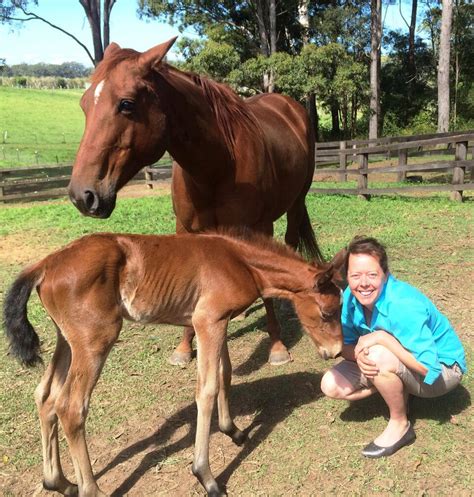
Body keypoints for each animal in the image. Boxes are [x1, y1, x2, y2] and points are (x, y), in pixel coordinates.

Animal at [4, 232, 344, 496]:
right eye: (328, 312)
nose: (337, 351)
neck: (240, 262)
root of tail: (46, 264)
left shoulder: (219, 321)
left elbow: (225, 374)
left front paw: (232, 430)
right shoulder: (207, 320)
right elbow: (206, 389)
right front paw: (206, 476)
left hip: (65, 339)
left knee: (45, 396)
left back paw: (58, 482)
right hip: (94, 341)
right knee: (71, 408)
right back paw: (91, 490)